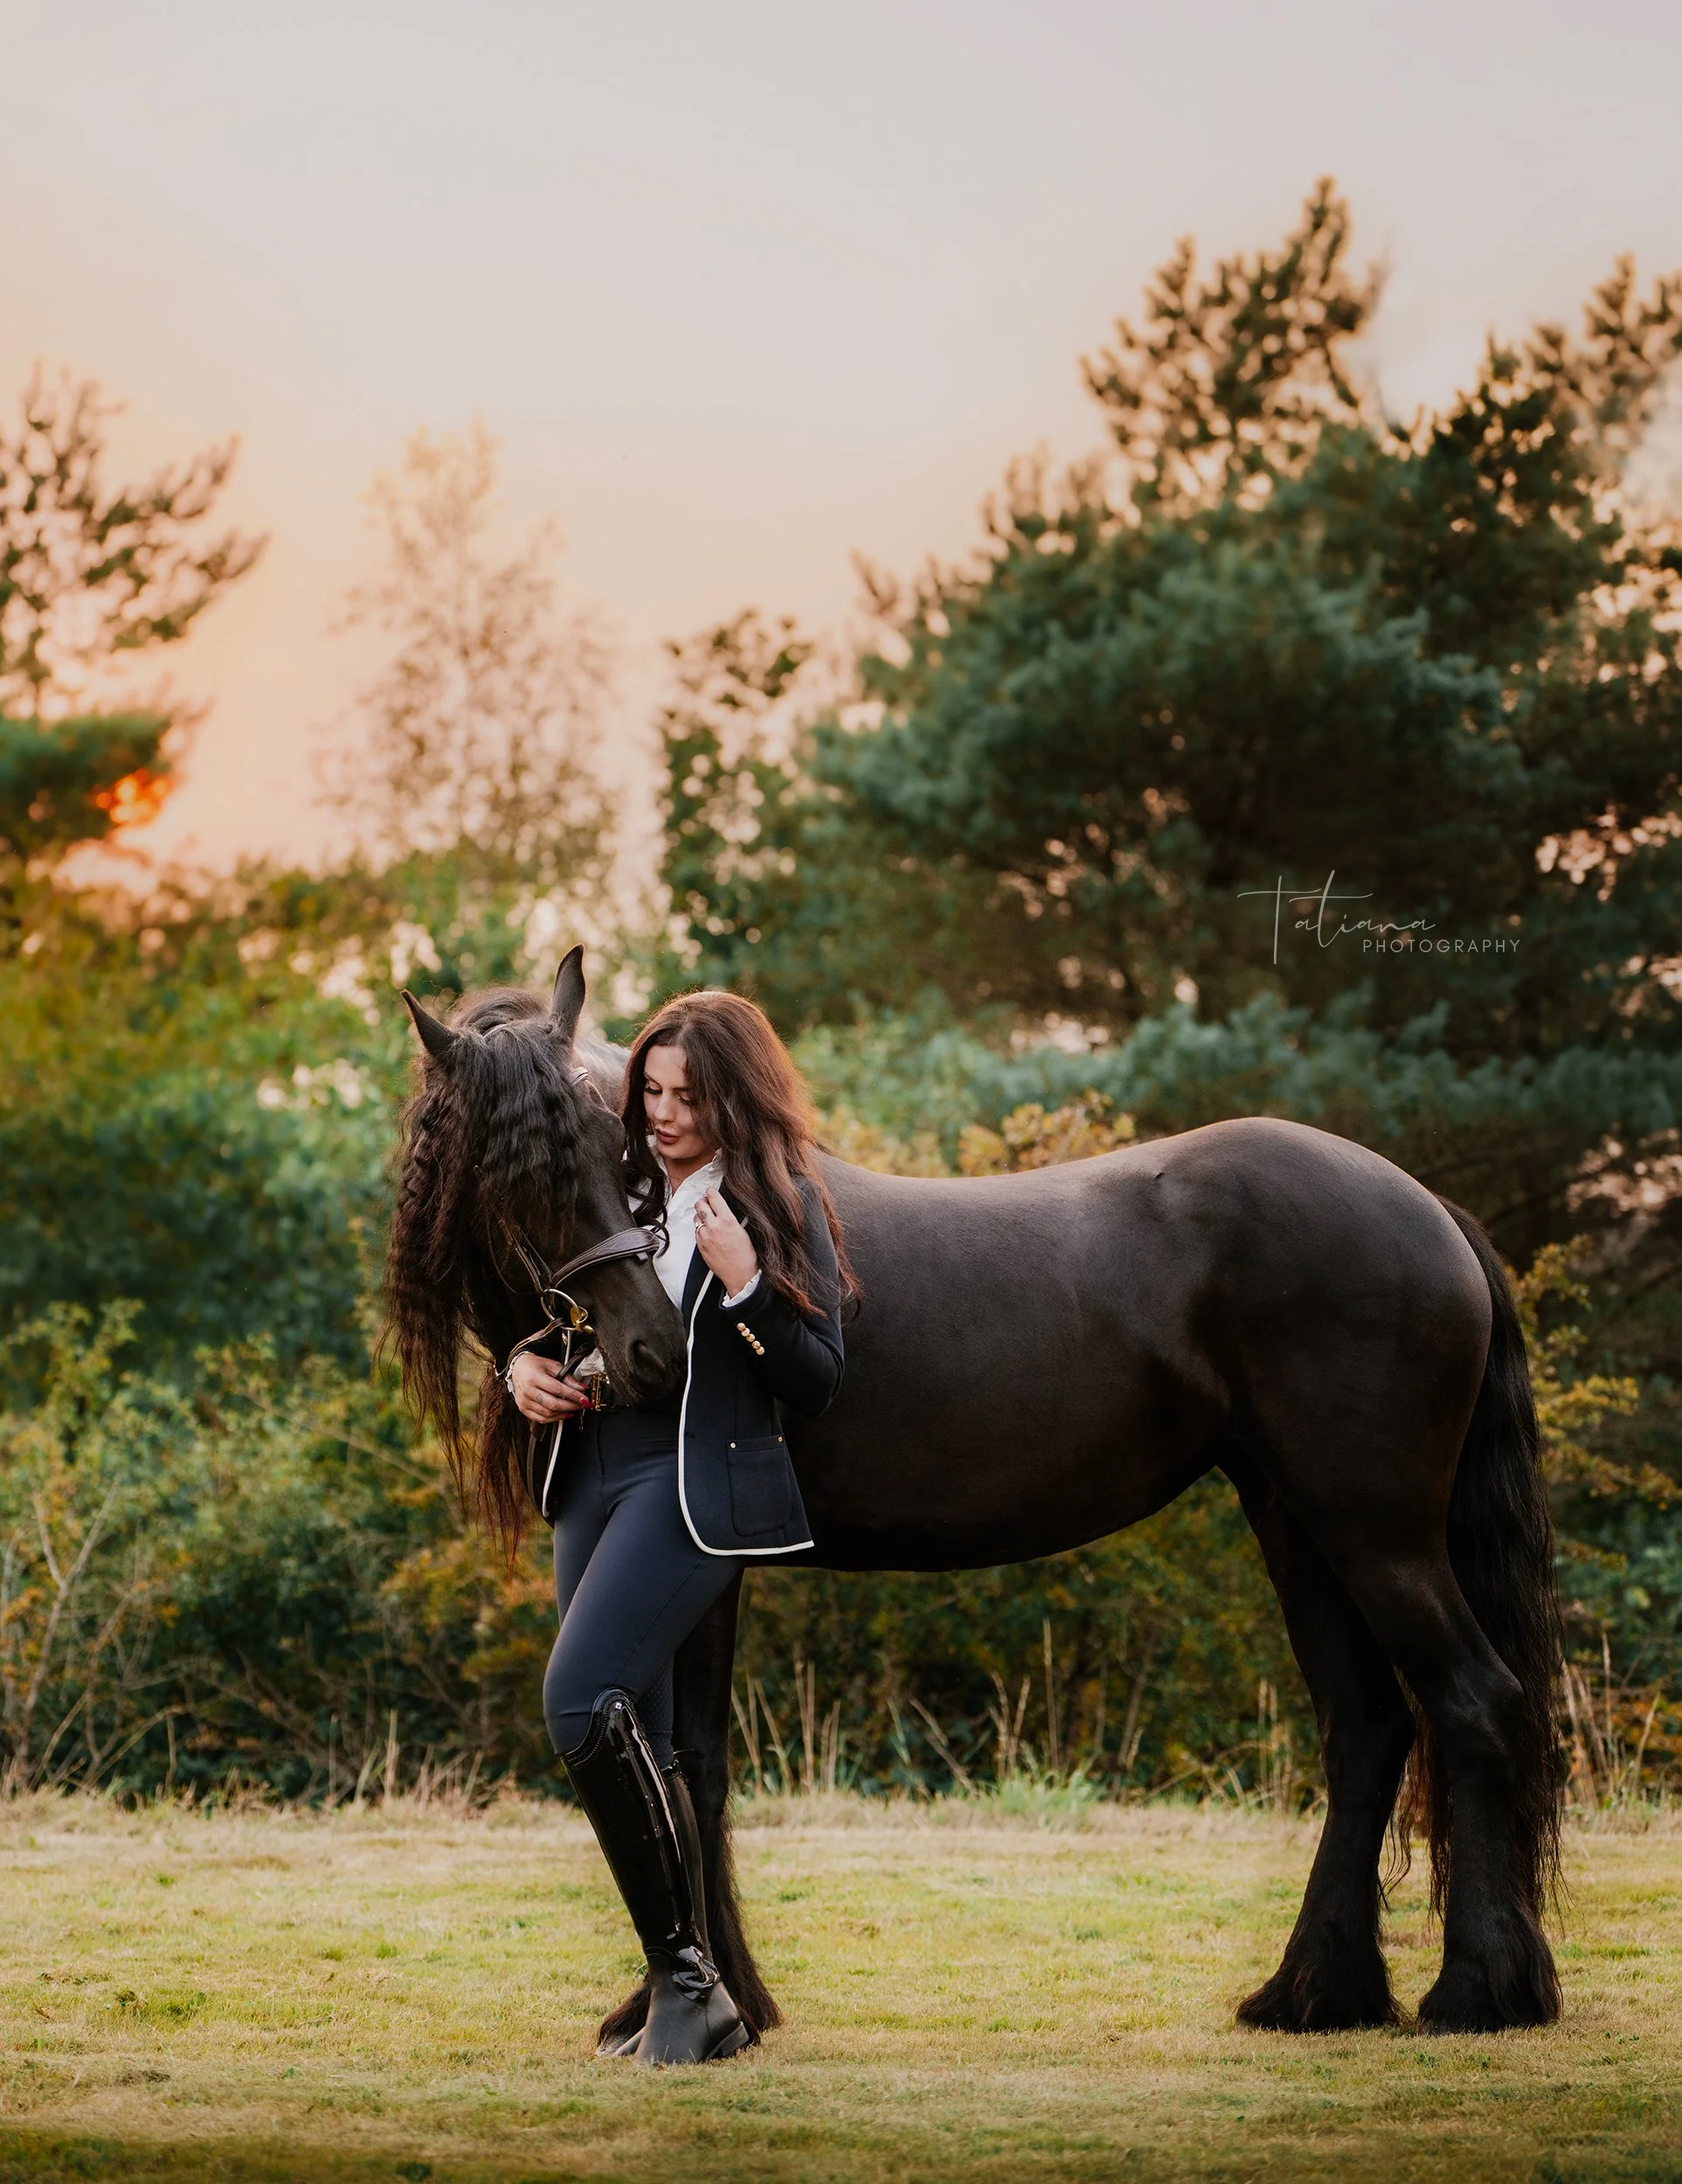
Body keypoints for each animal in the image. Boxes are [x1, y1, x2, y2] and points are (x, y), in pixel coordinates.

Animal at [388, 949, 1563, 2049]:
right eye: (519, 1168)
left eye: (614, 1143)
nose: (654, 1354)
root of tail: (1423, 1206)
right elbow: (677, 1766)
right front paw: (680, 2003)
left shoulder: (703, 1567)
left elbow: (696, 1767)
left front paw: (715, 2010)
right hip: (1295, 1524)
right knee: (1365, 1730)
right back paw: (1314, 1993)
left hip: (1377, 1532)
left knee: (1471, 1703)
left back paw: (1472, 1992)